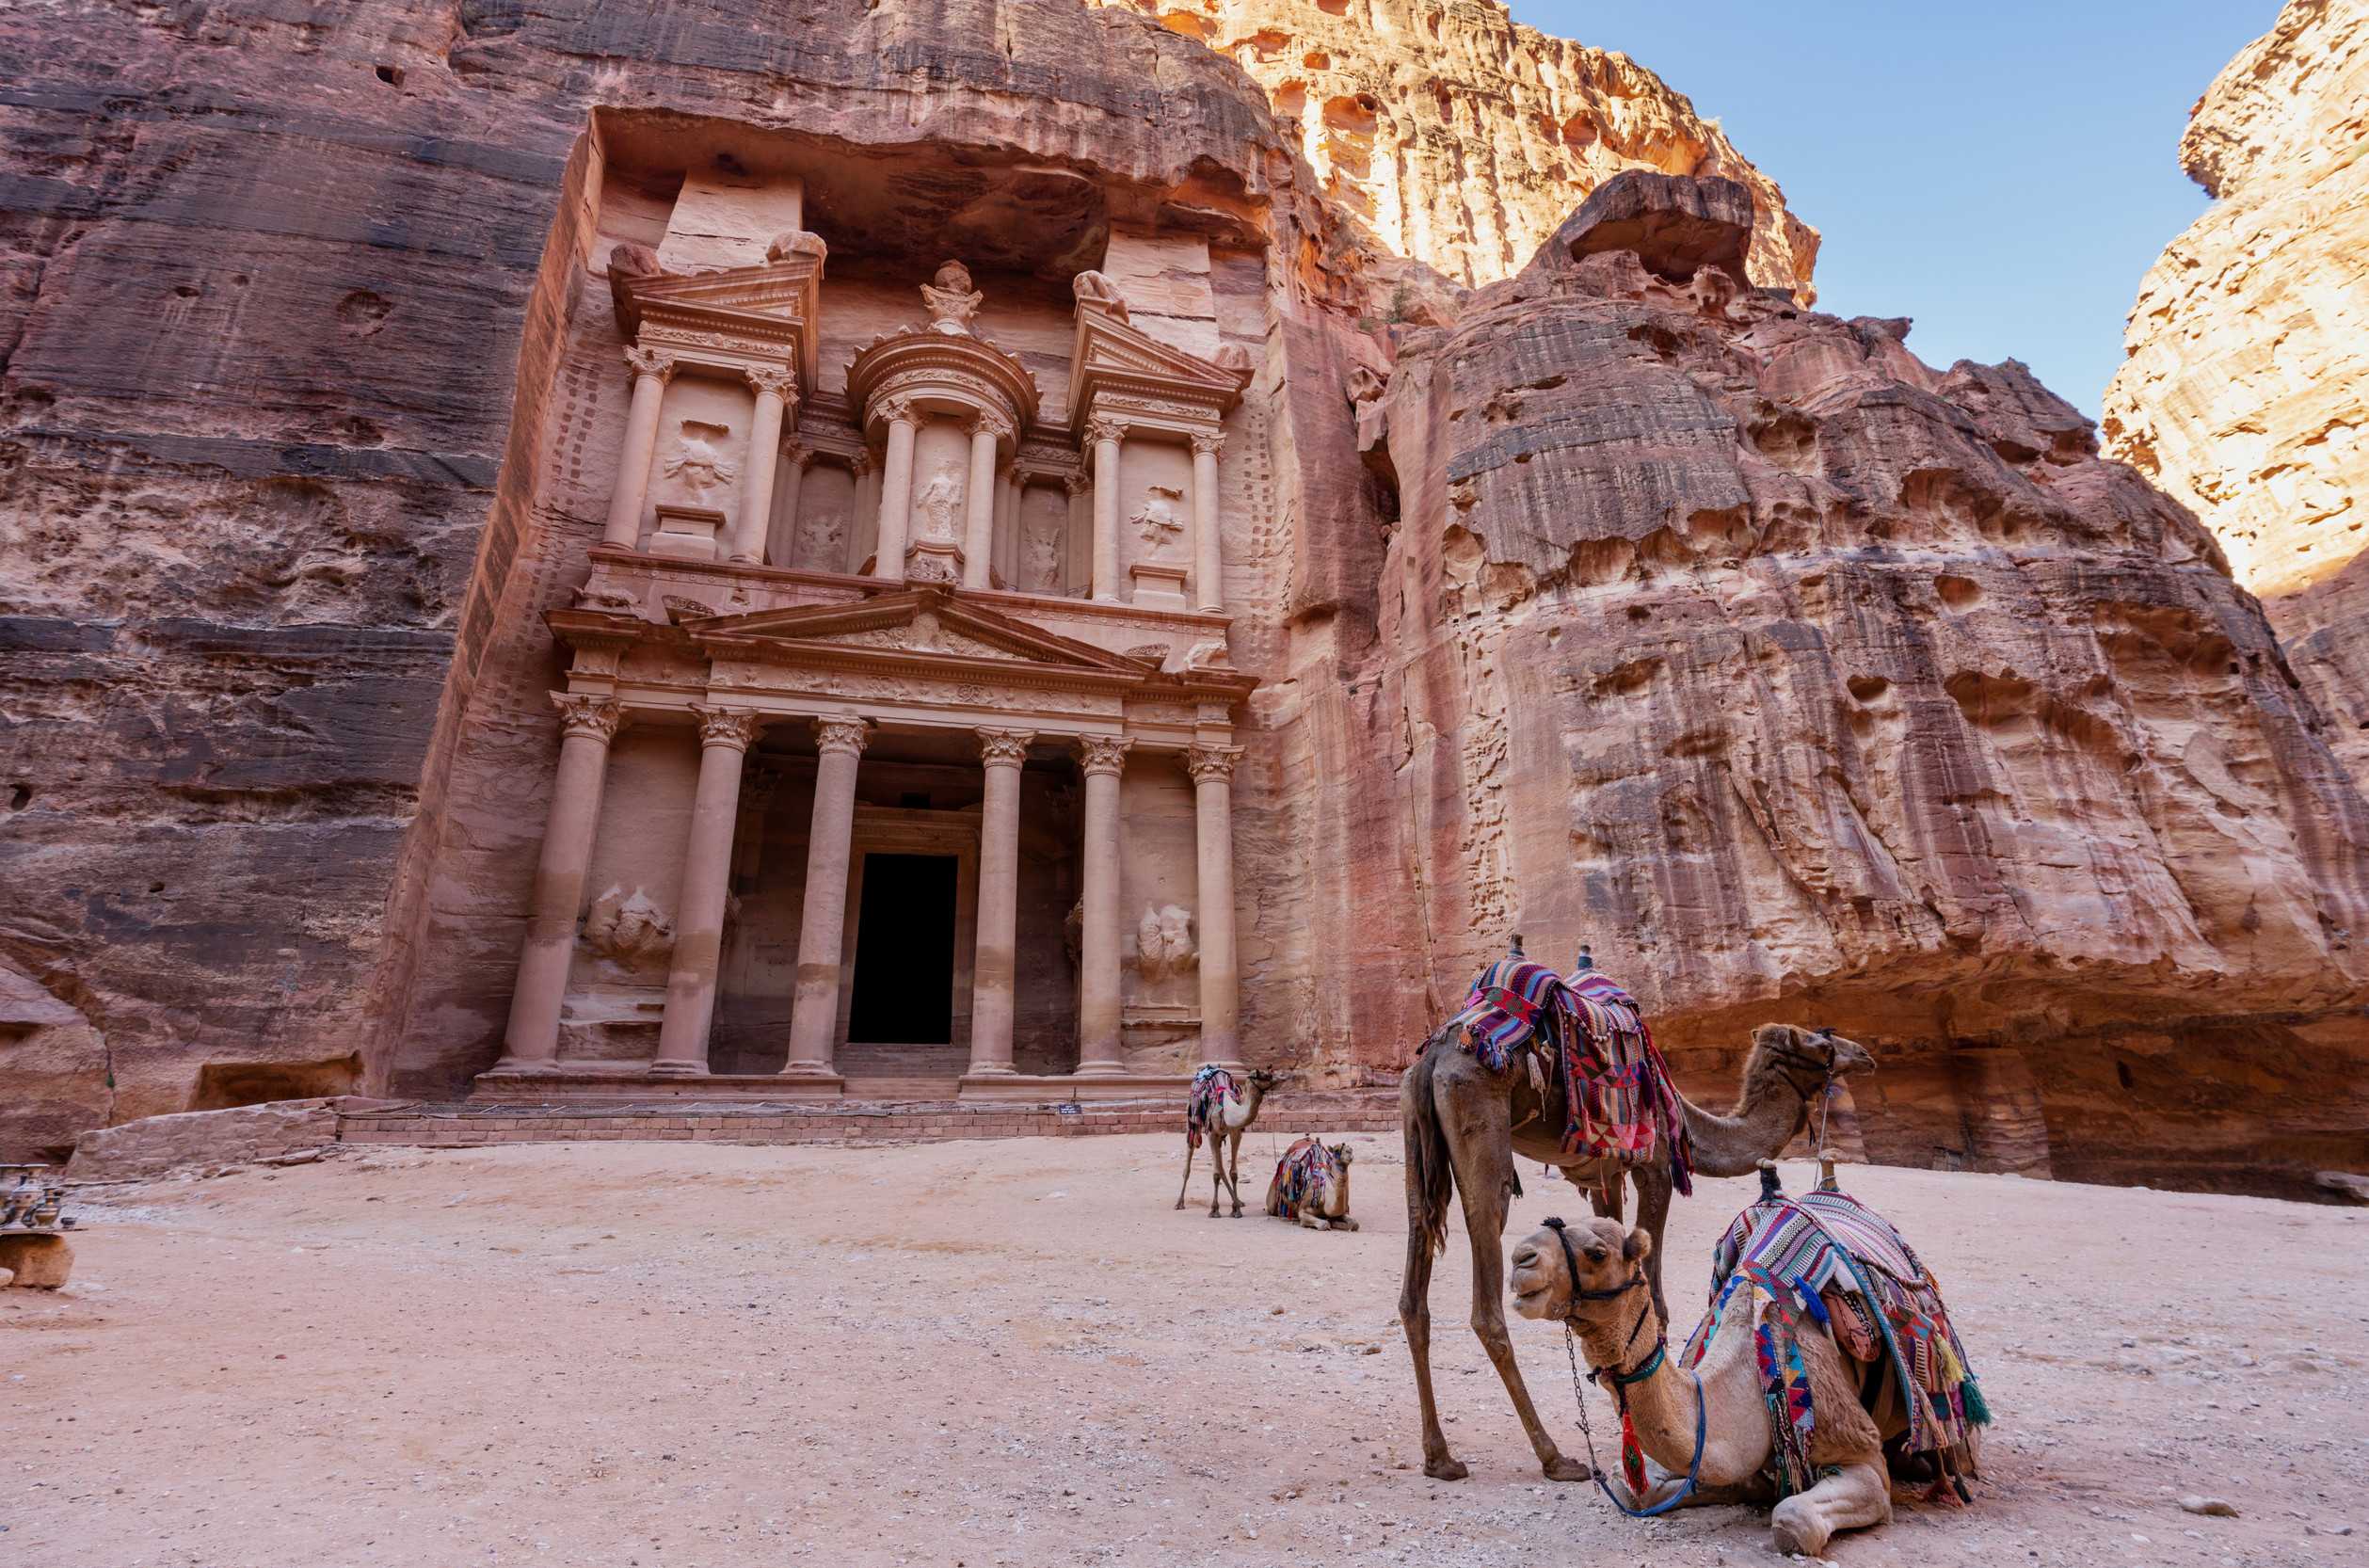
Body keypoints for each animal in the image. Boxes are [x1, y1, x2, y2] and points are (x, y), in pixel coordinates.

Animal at [1175, 1066, 1283, 1216]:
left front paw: (1236, 1209)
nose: (1282, 1078)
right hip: (1191, 1120)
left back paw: (1238, 1201)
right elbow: (1215, 1174)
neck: (1228, 1111)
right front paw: (1214, 1210)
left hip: (1220, 1136)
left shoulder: (1235, 1132)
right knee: (1190, 1160)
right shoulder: (1212, 1134)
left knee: (1221, 1167)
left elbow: (1233, 1173)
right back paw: (1179, 1203)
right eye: (1266, 1075)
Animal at [1399, 1019, 1875, 1482]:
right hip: (1480, 1119)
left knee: (1413, 1289)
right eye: (1822, 1042)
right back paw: (1554, 1459)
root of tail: (1432, 1059)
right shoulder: (1656, 1167)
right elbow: (1657, 1298)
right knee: (1487, 1304)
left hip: (1415, 1137)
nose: (1865, 1054)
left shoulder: (1604, 1177)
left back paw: (1439, 1458)